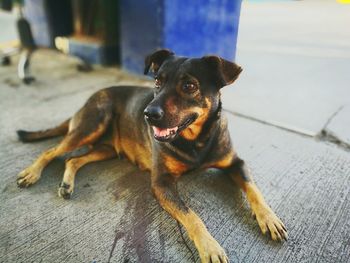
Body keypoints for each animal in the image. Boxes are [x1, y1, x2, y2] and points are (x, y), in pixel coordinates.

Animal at [15, 49, 288, 262]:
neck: (196, 141)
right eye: (157, 82)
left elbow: (254, 189)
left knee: (74, 159)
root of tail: (85, 103)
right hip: (91, 125)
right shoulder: (162, 183)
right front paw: (210, 247)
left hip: (105, 149)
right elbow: (192, 216)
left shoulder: (235, 162)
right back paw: (31, 173)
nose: (148, 114)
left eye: (189, 86)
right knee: (52, 150)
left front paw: (269, 218)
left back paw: (66, 184)